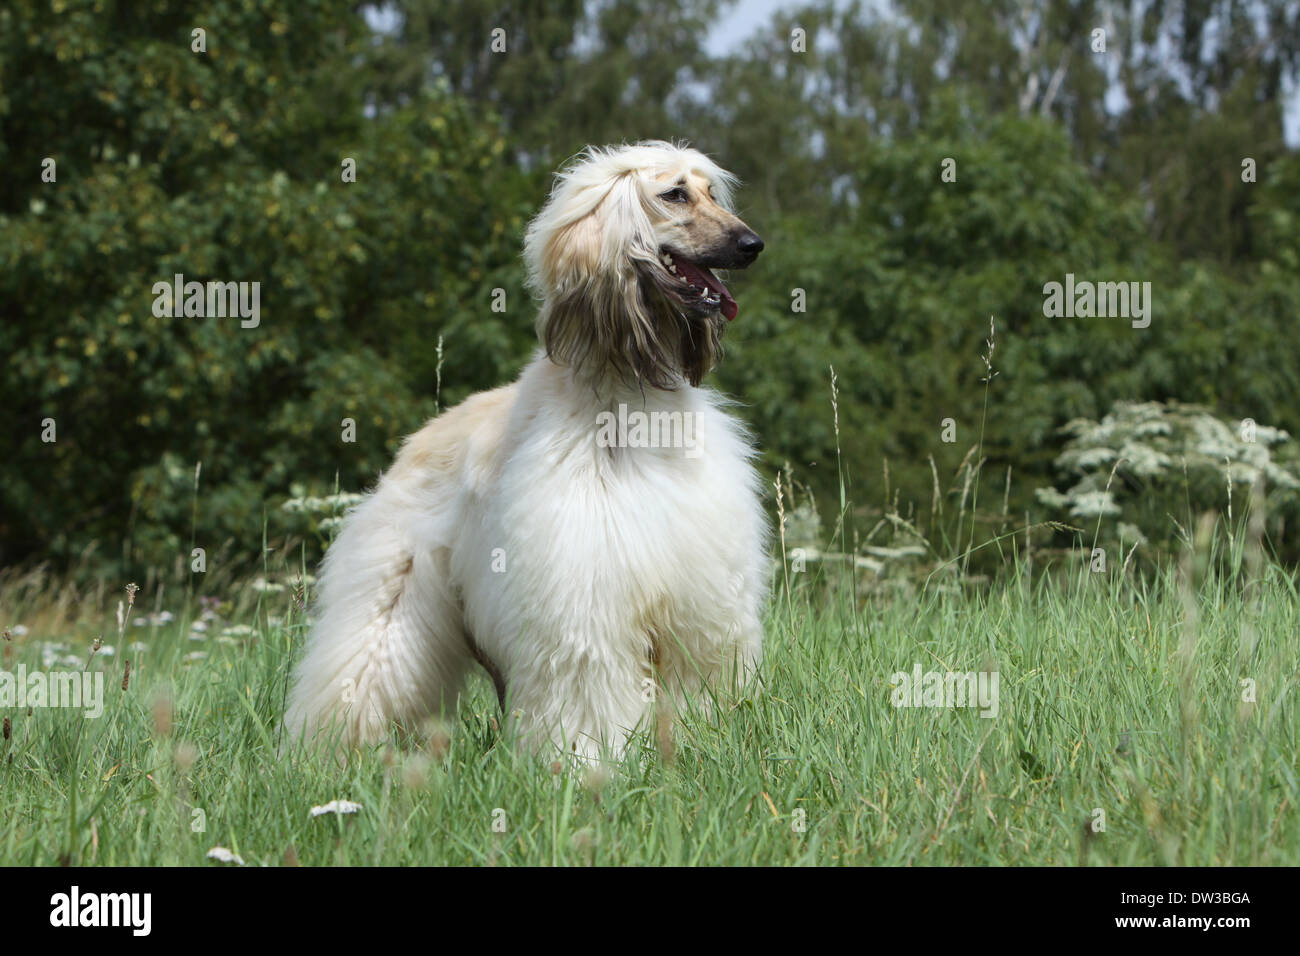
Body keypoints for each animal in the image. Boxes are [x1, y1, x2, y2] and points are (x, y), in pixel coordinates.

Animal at [283, 141, 764, 759]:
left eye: (709, 191)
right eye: (675, 194)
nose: (752, 244)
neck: (629, 401)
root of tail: (418, 440)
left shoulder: (698, 597)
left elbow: (697, 680)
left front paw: (701, 744)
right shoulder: (582, 592)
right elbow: (587, 687)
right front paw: (588, 757)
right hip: (394, 587)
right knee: (363, 668)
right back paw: (331, 756)